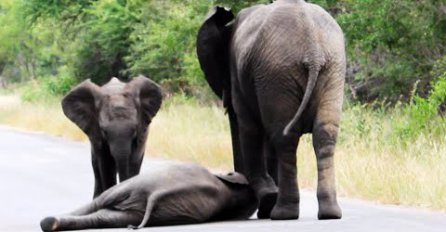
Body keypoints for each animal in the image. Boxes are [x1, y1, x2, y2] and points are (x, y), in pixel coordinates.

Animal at [197, 0, 346, 220]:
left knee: (284, 139)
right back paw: (330, 214)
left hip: (278, 73)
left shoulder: (239, 76)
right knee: (324, 135)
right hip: (330, 70)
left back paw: (281, 213)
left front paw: (266, 202)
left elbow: (249, 129)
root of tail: (313, 50)